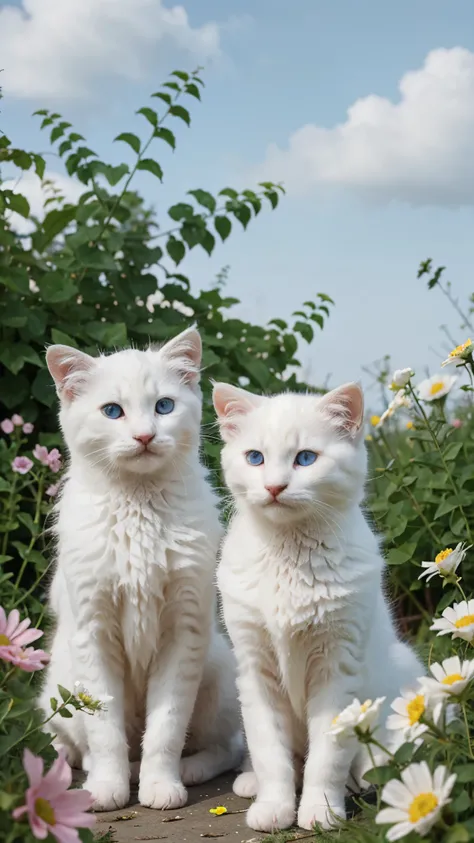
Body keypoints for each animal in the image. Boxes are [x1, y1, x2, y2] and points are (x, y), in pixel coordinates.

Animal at [39, 328, 243, 812]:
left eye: (164, 406)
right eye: (112, 411)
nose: (146, 435)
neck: (139, 508)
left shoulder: (183, 634)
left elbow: (166, 728)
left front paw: (160, 785)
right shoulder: (93, 635)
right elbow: (105, 731)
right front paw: (106, 789)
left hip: (218, 675)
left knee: (228, 746)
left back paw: (190, 769)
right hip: (58, 685)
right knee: (70, 739)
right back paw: (80, 766)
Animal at [213, 386, 424, 836]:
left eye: (305, 458)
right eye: (254, 457)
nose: (274, 486)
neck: (288, 555)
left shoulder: (337, 670)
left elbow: (327, 757)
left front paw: (320, 810)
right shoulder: (256, 671)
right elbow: (270, 751)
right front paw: (274, 805)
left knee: (382, 754)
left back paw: (364, 773)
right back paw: (251, 780)